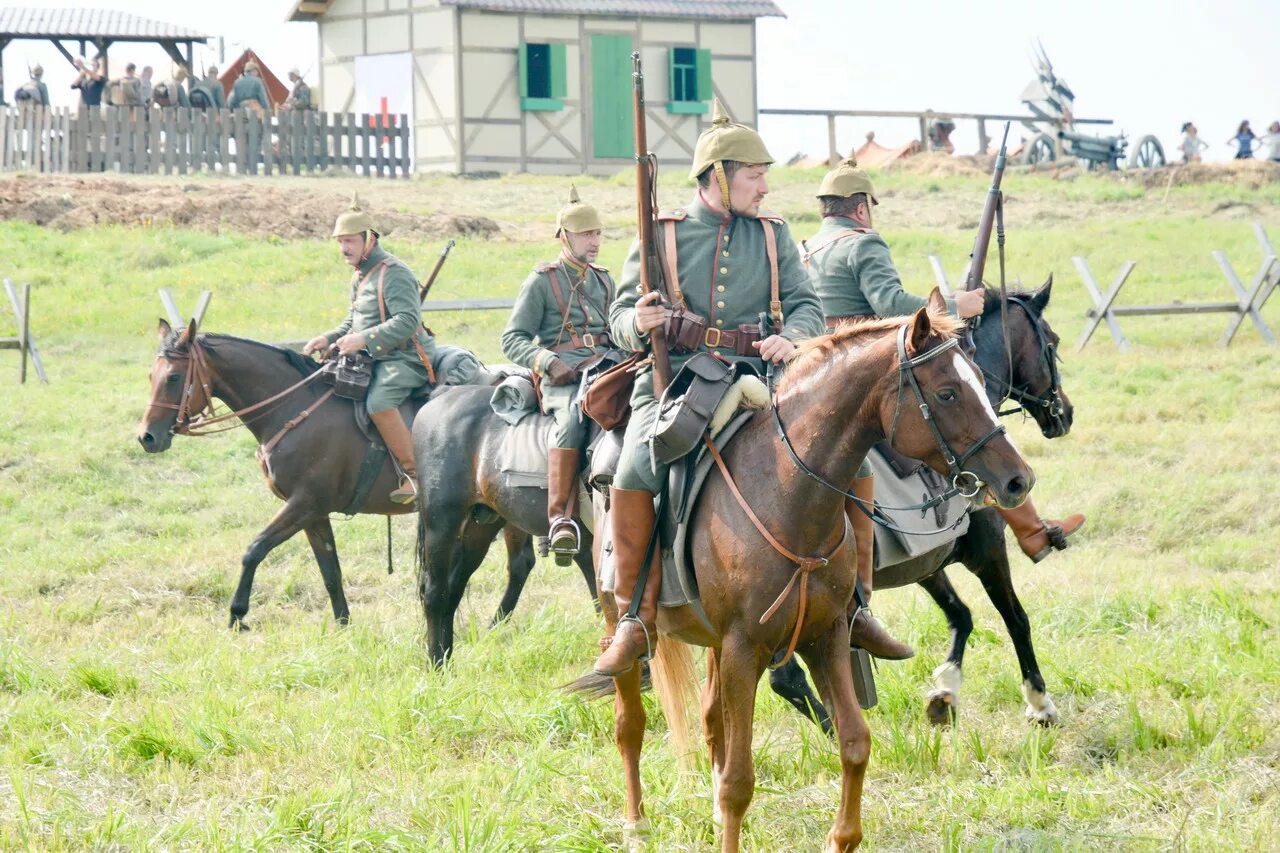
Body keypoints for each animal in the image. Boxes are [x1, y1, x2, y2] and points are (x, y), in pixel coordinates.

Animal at [137, 318, 537, 625]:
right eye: (151, 375)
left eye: (174, 378)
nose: (148, 437)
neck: (294, 406)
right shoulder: (313, 513)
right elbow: (330, 570)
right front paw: (343, 624)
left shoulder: (303, 504)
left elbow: (254, 549)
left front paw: (237, 614)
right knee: (521, 563)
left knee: (516, 565)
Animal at [604, 294, 1034, 850]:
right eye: (947, 392)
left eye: (981, 380)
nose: (1018, 480)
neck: (788, 492)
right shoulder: (745, 647)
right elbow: (739, 779)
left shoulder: (823, 635)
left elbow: (853, 742)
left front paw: (841, 836)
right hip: (624, 621)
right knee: (630, 723)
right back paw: (635, 821)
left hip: (719, 644)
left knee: (710, 719)